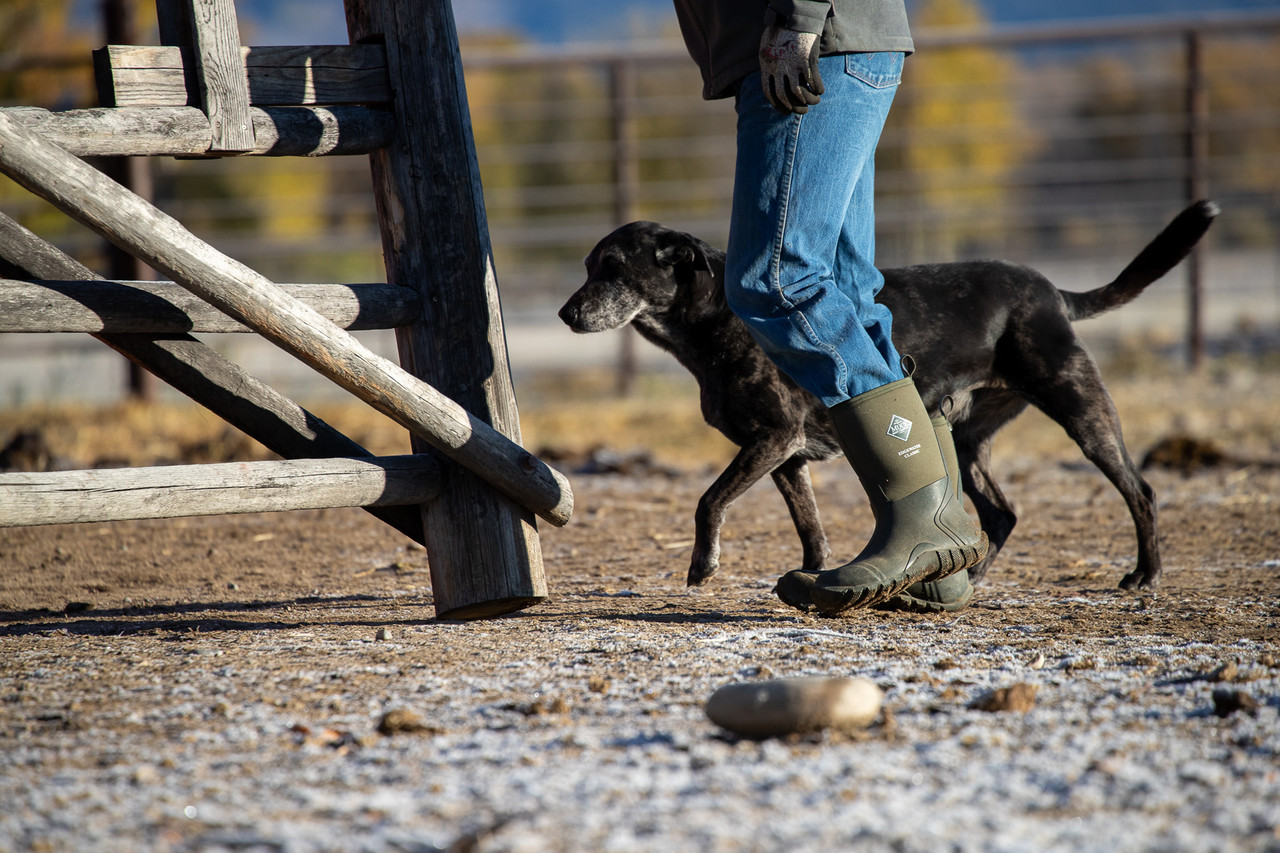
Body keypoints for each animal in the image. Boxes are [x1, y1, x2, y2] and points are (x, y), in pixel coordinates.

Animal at [560, 202, 1218, 591]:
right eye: (588, 265)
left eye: (613, 268)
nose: (566, 315)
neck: (719, 317)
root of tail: (1053, 292)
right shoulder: (785, 456)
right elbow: (809, 525)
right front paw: (811, 575)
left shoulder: (771, 439)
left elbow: (708, 500)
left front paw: (703, 566)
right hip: (966, 439)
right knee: (1001, 514)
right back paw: (970, 574)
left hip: (1080, 407)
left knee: (1140, 490)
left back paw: (1145, 574)